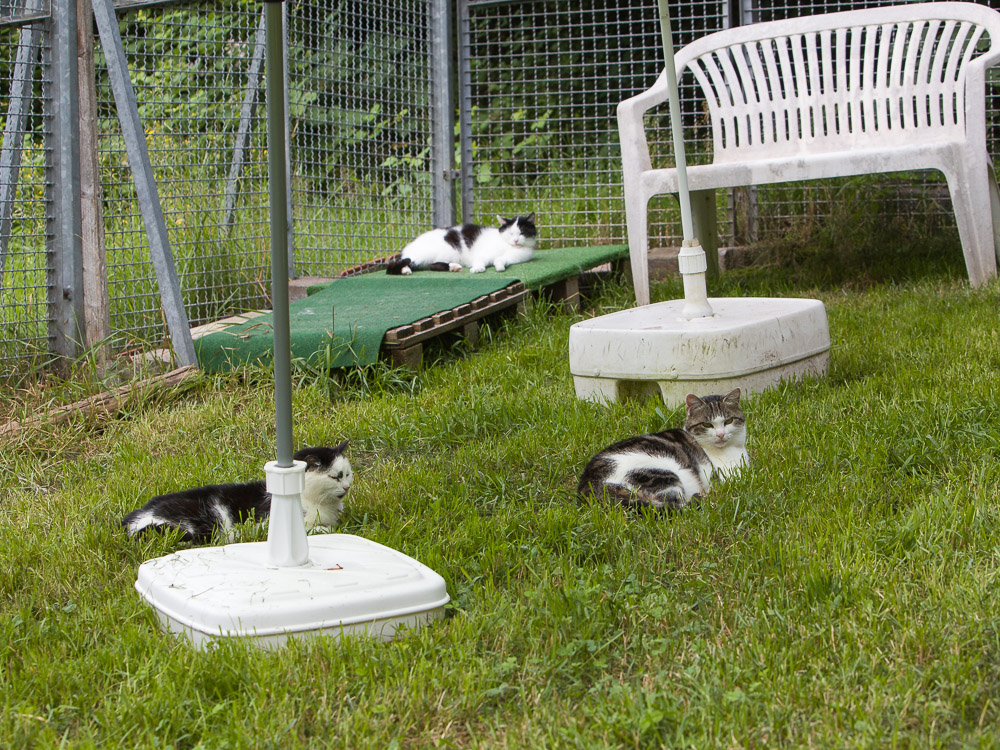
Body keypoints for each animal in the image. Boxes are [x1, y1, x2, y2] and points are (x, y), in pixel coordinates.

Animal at [123, 444, 354, 544]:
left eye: (348, 474)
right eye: (335, 477)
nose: (346, 487)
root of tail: (131, 521)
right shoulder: (266, 524)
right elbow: (317, 529)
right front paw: (326, 529)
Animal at [384, 214, 540, 276]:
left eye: (522, 233)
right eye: (510, 233)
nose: (515, 241)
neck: (507, 246)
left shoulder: (511, 257)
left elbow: (500, 260)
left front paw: (499, 266)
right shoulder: (483, 254)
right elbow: (480, 261)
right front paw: (477, 268)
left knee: (432, 265)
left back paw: (454, 267)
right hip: (424, 254)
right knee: (392, 266)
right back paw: (404, 270)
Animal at [576, 394, 748, 512]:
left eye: (728, 421)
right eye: (707, 424)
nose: (720, 434)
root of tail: (589, 486)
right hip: (660, 474)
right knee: (676, 506)